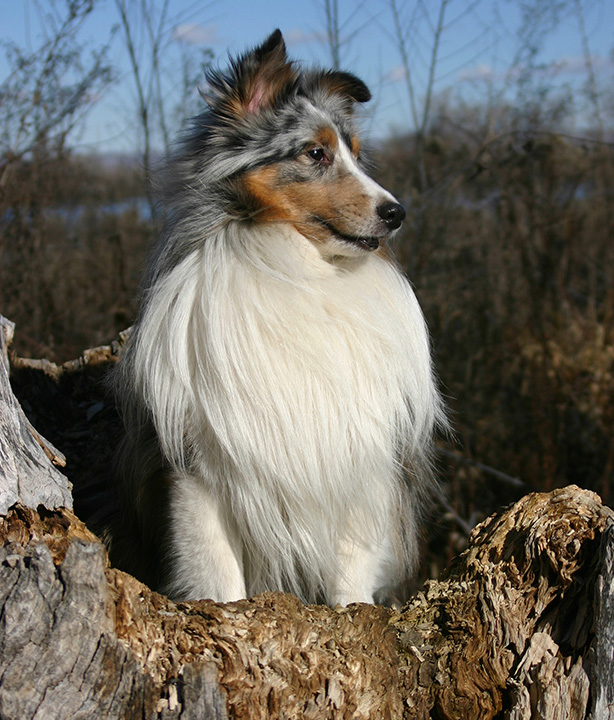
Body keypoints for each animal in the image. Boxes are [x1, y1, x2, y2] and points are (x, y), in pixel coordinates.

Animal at [112, 29, 448, 608]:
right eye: (315, 153)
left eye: (357, 155)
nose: (396, 213)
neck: (297, 267)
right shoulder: (197, 471)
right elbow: (218, 575)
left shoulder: (357, 465)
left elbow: (351, 573)